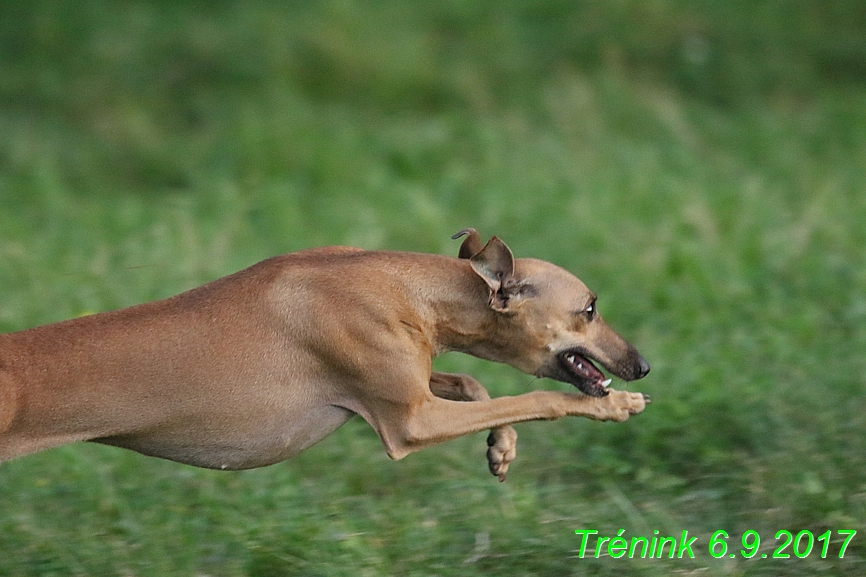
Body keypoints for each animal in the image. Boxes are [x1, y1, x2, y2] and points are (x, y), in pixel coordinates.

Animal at [0, 228, 648, 476]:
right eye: (590, 307)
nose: (642, 365)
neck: (400, 285)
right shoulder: (409, 424)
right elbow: (537, 398)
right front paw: (615, 406)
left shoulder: (408, 391)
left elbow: (473, 384)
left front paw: (501, 449)